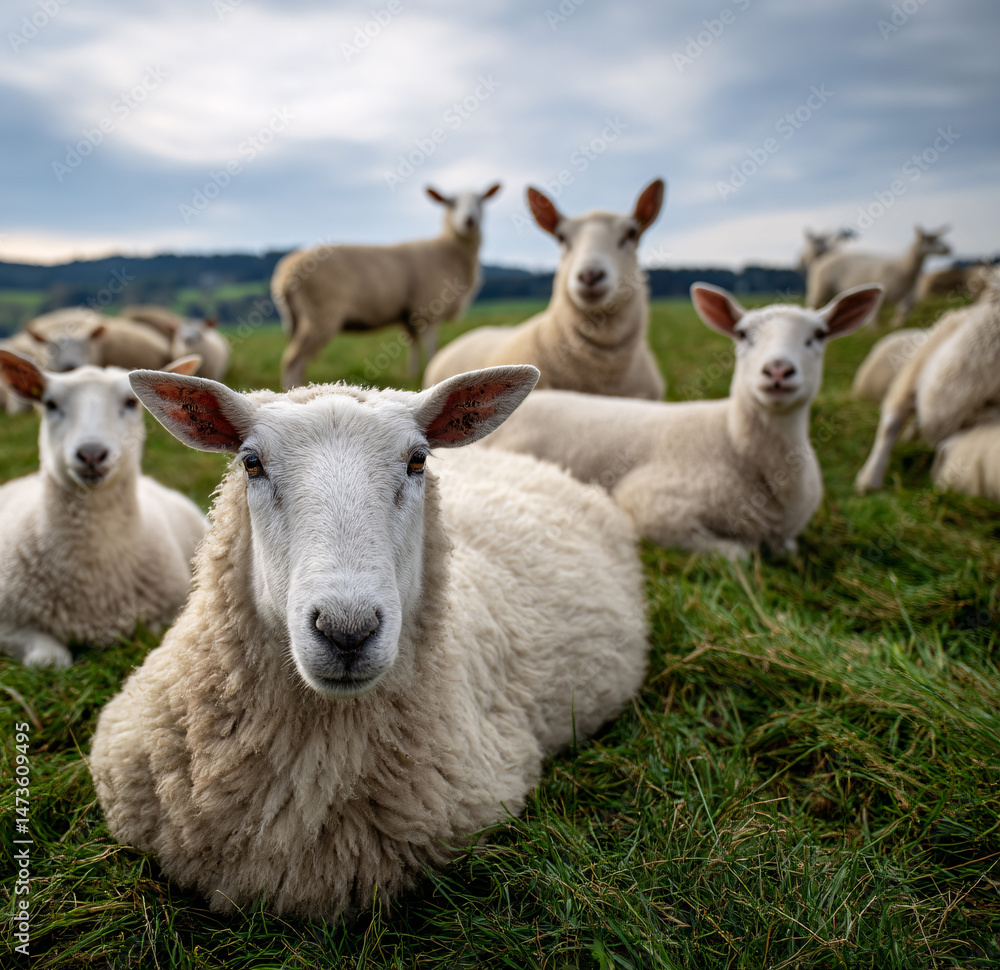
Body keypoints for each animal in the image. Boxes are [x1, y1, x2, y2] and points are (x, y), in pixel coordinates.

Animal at [273, 183, 502, 389]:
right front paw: (431, 373)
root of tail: (284, 275)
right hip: (320, 313)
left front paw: (413, 375)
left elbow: (413, 346)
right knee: (291, 360)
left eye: (481, 201)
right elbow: (431, 348)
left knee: (299, 361)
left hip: (302, 318)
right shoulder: (428, 308)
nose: (469, 220)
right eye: (450, 203)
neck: (447, 250)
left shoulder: (411, 314)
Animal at [482, 284, 884, 559]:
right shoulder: (651, 504)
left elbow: (785, 550)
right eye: (743, 334)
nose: (778, 371)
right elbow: (740, 554)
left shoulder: (786, 537)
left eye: (819, 335)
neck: (734, 440)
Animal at [807, 226, 951, 328]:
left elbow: (903, 311)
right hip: (821, 287)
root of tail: (821, 261)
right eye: (929, 240)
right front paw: (874, 331)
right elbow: (876, 318)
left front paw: (894, 326)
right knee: (813, 306)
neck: (902, 266)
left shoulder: (906, 294)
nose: (948, 249)